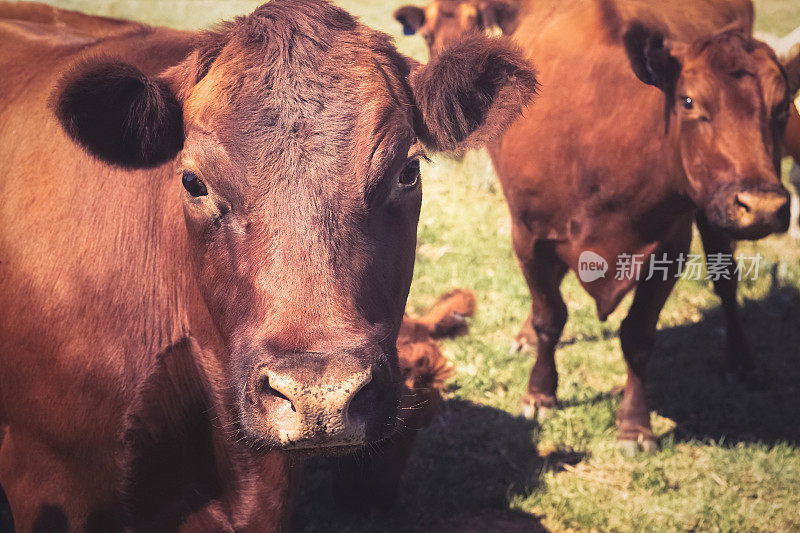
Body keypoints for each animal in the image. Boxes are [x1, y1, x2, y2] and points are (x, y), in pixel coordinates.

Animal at [396, 0, 800, 454]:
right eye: (688, 100)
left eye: (782, 107)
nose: (762, 206)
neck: (599, 144)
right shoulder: (529, 236)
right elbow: (550, 316)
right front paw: (540, 393)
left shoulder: (670, 246)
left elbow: (638, 336)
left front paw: (635, 426)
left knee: (725, 276)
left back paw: (740, 357)